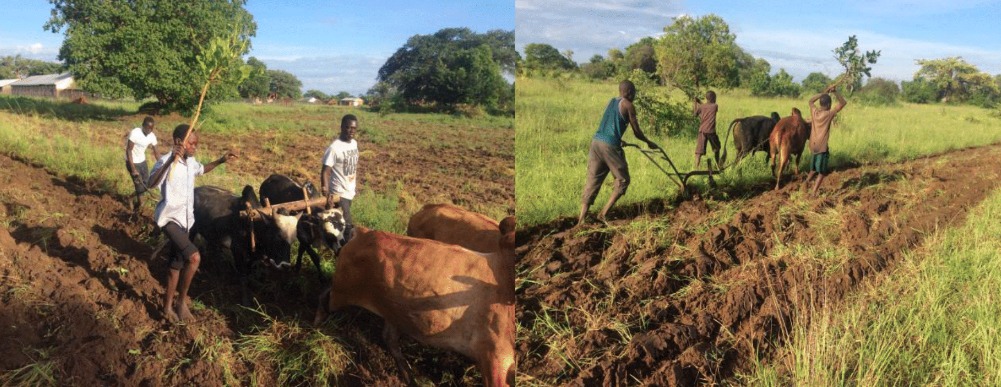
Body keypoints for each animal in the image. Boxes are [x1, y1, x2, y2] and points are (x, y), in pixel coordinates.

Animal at [314, 217, 516, 386]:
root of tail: (361, 232)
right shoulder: (494, 356)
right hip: (341, 292)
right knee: (323, 299)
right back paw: (316, 331)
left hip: (390, 309)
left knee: (389, 338)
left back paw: (409, 377)